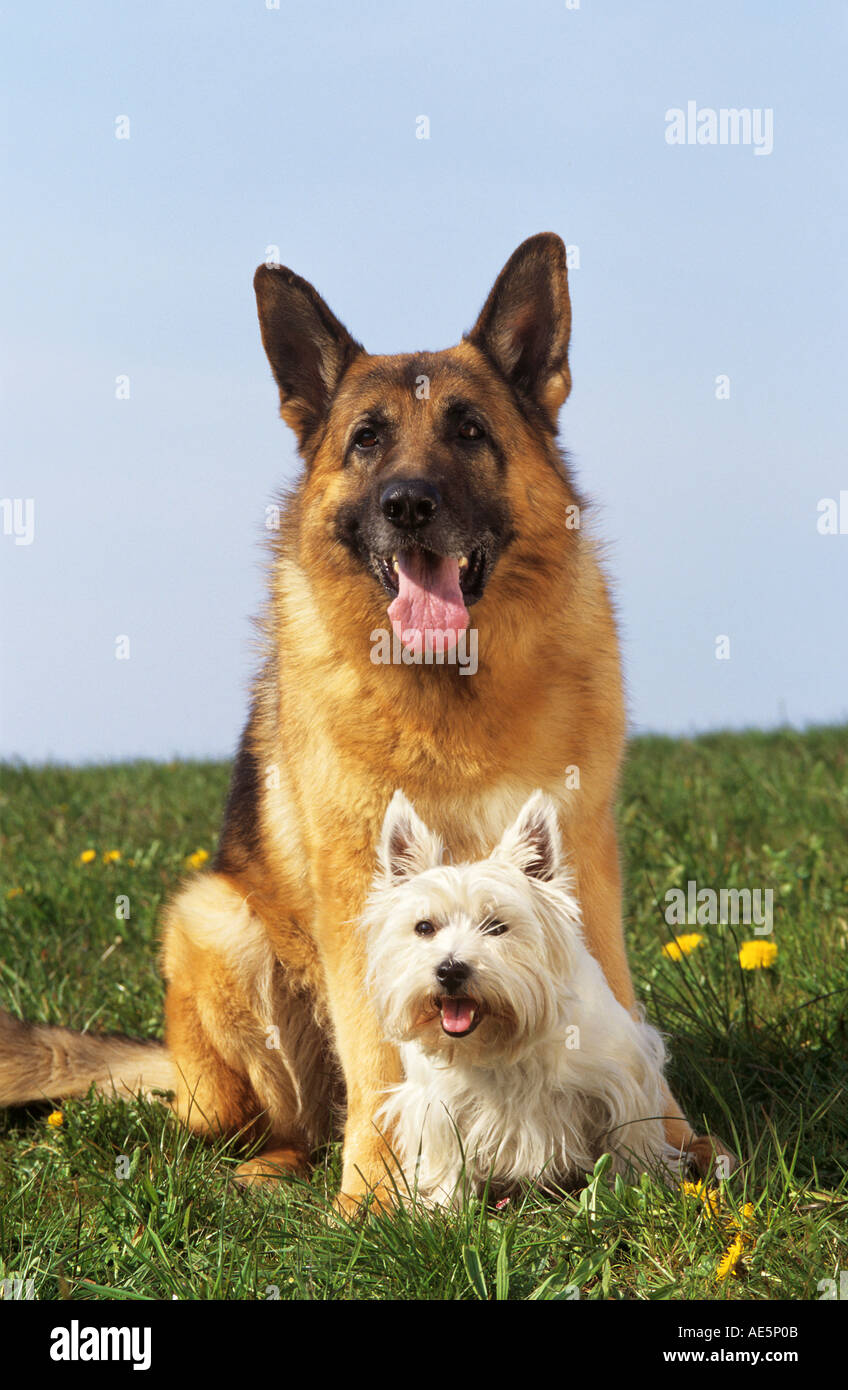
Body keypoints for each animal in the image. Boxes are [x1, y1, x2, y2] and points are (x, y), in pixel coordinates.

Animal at [358, 795, 675, 1206]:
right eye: (424, 927)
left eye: (496, 927)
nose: (450, 970)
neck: (500, 1045)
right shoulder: (439, 1108)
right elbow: (448, 1161)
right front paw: (444, 1209)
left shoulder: (623, 1081)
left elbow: (631, 1140)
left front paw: (641, 1191)